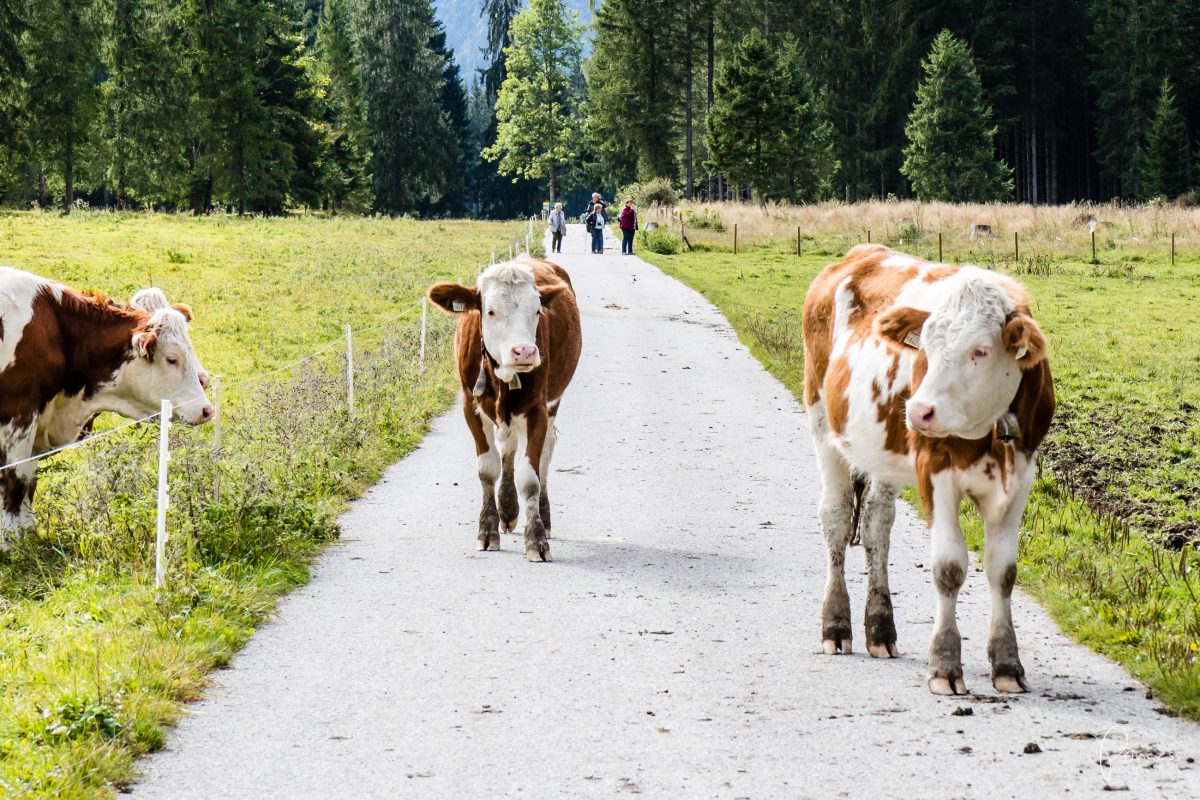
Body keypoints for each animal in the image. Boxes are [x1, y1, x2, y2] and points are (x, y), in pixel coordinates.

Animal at [0, 267, 213, 544]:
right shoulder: (19, 415)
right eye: (172, 359)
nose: (206, 409)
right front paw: (13, 543)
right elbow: (16, 479)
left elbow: (29, 480)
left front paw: (28, 532)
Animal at [429, 256, 583, 563]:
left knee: (545, 454)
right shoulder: (470, 405)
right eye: (490, 311)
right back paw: (508, 510)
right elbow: (488, 469)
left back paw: (542, 516)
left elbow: (530, 479)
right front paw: (487, 530)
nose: (524, 351)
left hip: (552, 403)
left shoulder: (537, 409)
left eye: (537, 311)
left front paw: (536, 539)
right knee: (508, 450)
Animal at [806, 244, 1051, 695]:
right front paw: (944, 666)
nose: (919, 411)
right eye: (926, 348)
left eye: (981, 350)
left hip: (881, 455)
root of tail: (860, 252)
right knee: (835, 514)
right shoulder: (934, 472)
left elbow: (1003, 571)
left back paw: (880, 630)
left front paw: (1007, 664)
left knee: (877, 523)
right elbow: (949, 567)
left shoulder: (1021, 477)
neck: (988, 432)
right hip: (822, 422)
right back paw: (836, 625)